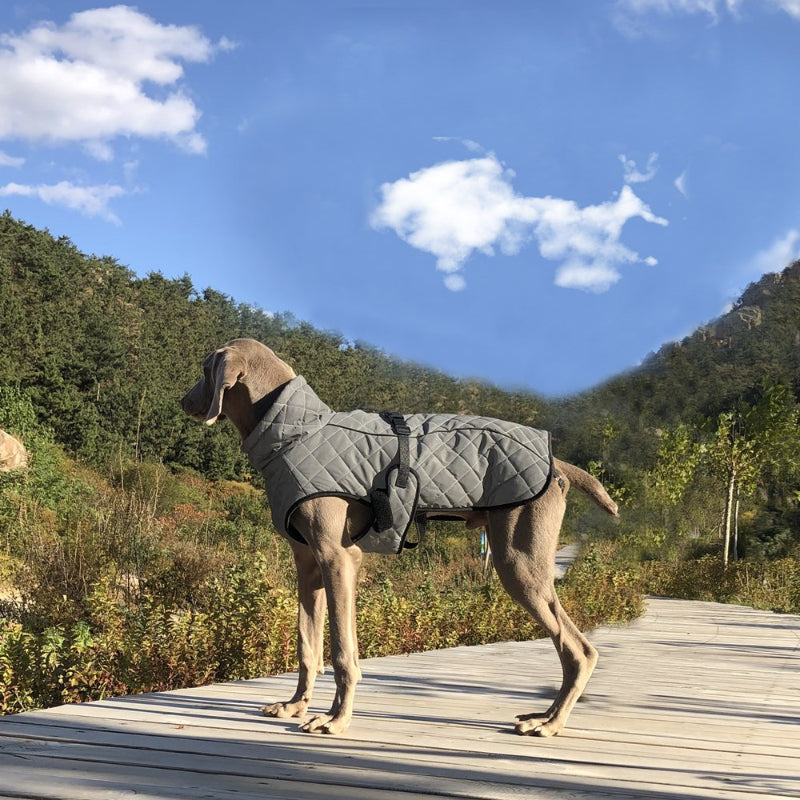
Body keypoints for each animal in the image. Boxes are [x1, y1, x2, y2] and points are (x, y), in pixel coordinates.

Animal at [181, 338, 620, 736]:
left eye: (205, 369)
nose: (183, 400)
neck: (296, 431)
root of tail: (556, 461)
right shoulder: (307, 563)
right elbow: (308, 644)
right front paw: (294, 706)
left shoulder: (339, 558)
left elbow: (341, 651)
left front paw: (335, 719)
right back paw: (544, 715)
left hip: (519, 561)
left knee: (579, 650)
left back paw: (550, 723)